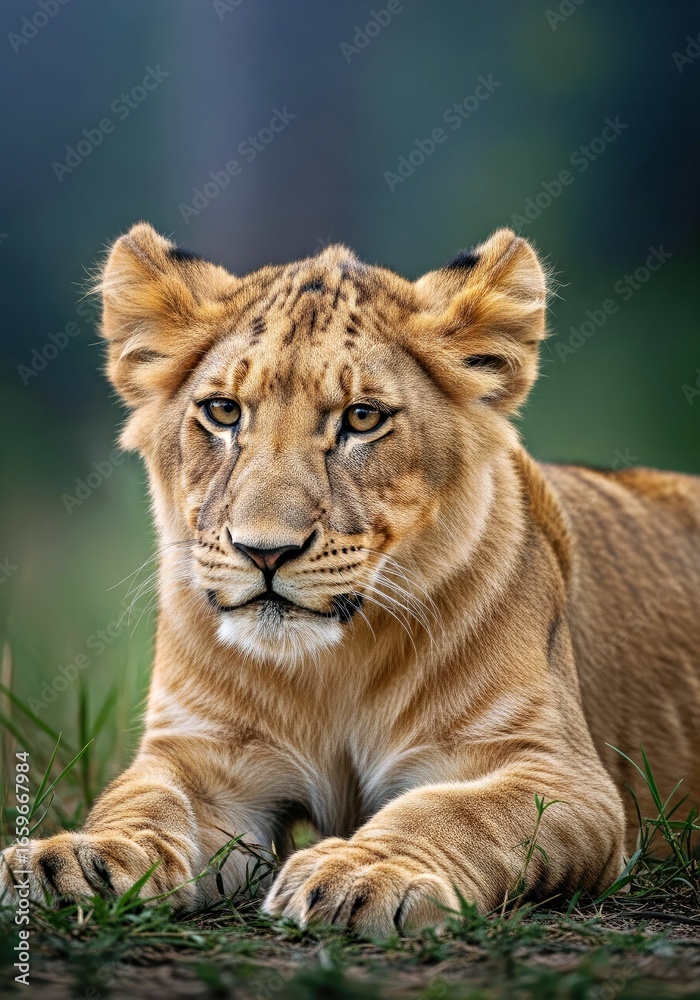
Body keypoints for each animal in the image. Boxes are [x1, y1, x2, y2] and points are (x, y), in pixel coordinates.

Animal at [2, 223, 699, 937]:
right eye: (223, 411)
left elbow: (451, 812)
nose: (265, 552)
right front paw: (79, 861)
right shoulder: (200, 758)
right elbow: (143, 802)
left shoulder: (563, 777)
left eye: (363, 419)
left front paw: (365, 874)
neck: (329, 668)